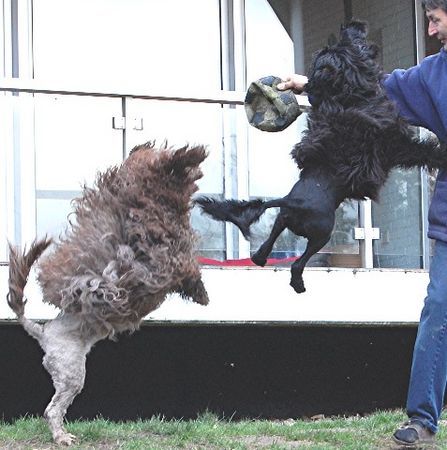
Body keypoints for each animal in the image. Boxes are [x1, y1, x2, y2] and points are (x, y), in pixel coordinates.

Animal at [199, 21, 447, 294]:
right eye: (354, 46)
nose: (355, 25)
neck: (347, 94)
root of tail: (292, 201)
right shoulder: (394, 145)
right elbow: (422, 151)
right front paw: (441, 155)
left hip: (283, 219)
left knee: (268, 243)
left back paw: (260, 258)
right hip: (322, 232)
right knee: (298, 263)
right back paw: (298, 283)